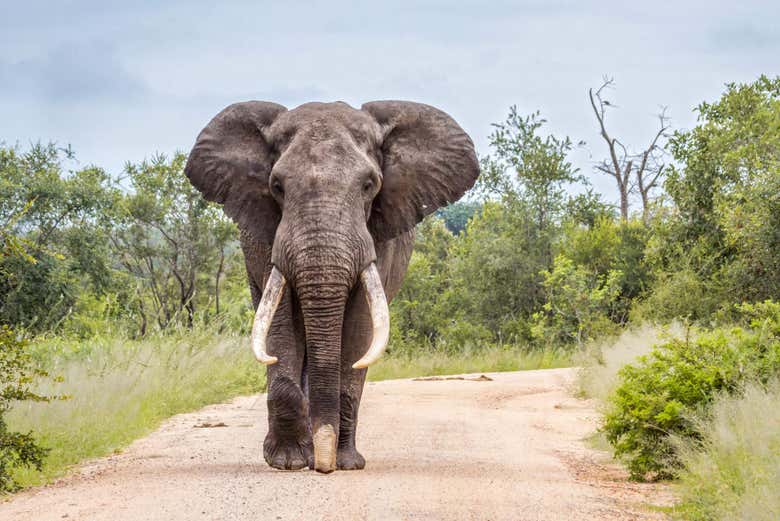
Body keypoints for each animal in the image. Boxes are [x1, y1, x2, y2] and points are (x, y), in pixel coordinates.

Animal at [186, 99, 478, 474]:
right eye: (277, 186)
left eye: (369, 185)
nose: (324, 467)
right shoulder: (269, 237)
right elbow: (281, 323)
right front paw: (289, 461)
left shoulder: (376, 238)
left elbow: (358, 329)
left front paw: (343, 462)